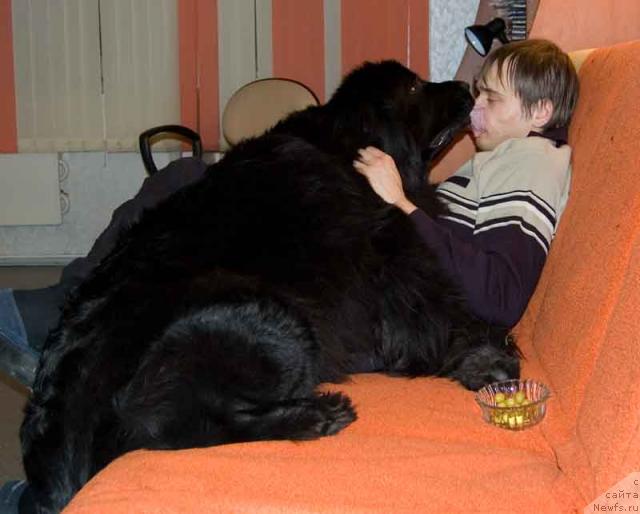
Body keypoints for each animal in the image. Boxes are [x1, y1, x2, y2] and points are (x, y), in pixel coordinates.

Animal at [21, 60, 520, 508]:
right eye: (415, 88)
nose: (465, 85)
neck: (348, 144)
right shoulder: (389, 262)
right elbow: (441, 310)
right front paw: (489, 360)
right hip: (270, 318)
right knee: (169, 428)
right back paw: (315, 416)